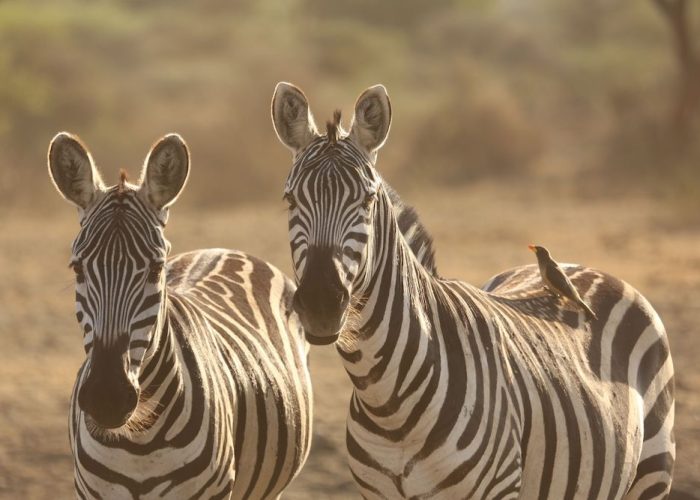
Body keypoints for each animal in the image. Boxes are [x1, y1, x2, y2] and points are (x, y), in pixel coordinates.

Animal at [270, 84, 676, 498]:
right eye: (290, 199)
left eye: (368, 200)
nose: (321, 304)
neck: (387, 403)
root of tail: (582, 267)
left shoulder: (496, 487)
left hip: (652, 472)